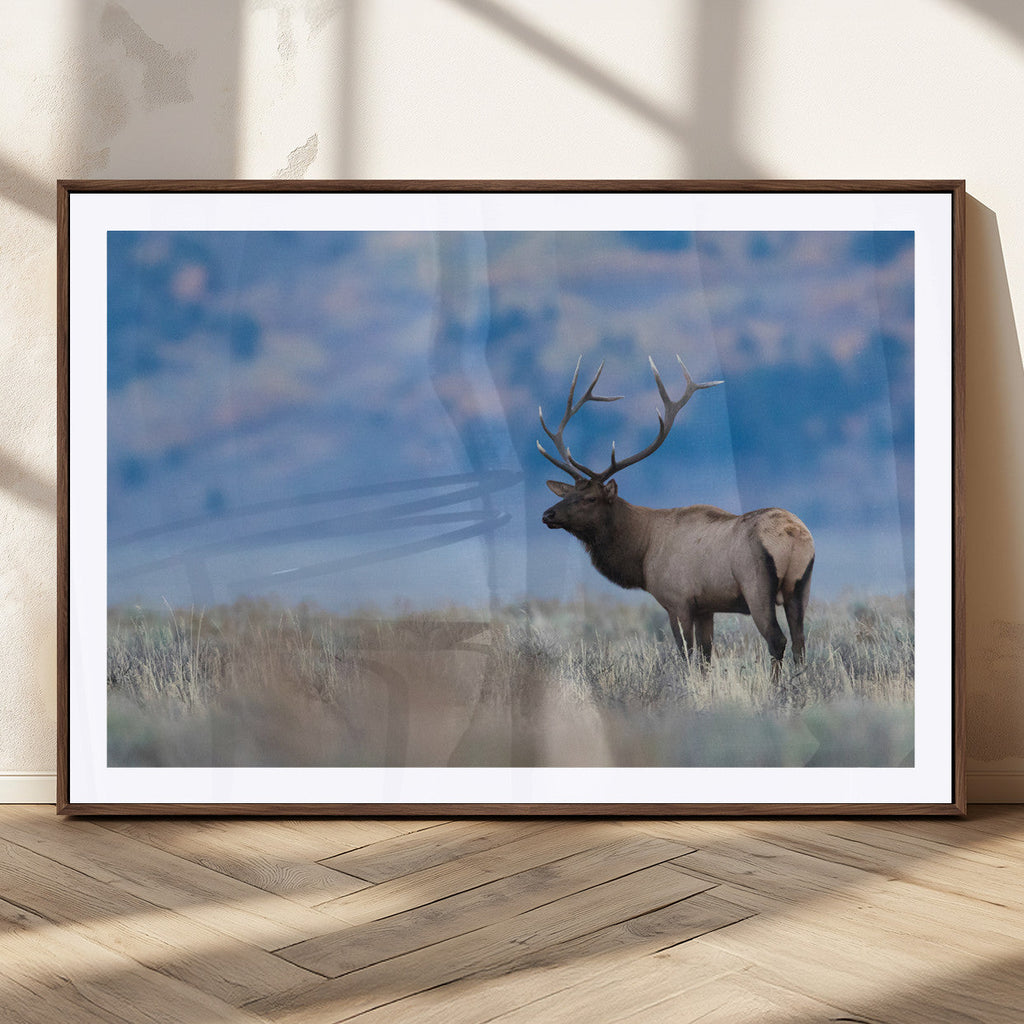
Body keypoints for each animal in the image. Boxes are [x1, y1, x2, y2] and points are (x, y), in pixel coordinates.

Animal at [539, 356, 815, 677]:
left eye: (591, 498)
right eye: (567, 494)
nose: (547, 514)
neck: (642, 552)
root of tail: (793, 535)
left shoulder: (677, 600)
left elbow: (686, 654)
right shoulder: (706, 606)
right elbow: (706, 655)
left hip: (756, 585)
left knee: (777, 639)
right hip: (800, 587)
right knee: (800, 641)